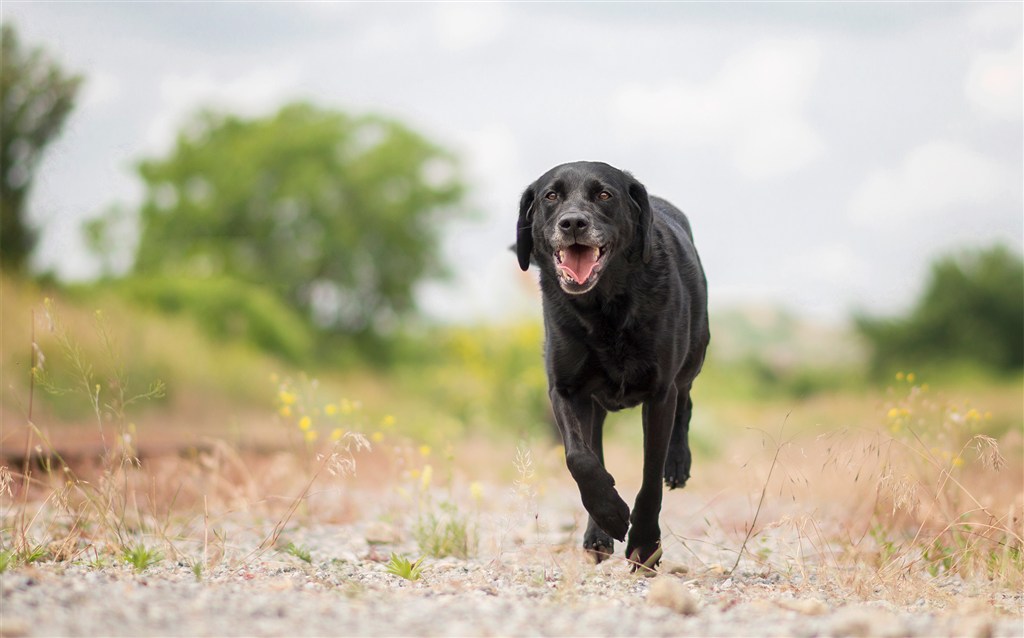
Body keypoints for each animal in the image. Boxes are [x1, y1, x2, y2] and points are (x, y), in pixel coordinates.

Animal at [516, 161, 708, 573]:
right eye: (550, 196)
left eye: (604, 194)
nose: (573, 222)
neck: (603, 308)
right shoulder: (565, 389)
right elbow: (580, 458)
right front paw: (610, 514)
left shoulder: (660, 393)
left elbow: (650, 477)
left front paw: (645, 545)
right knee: (595, 448)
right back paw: (597, 533)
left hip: (695, 354)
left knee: (686, 400)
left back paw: (678, 463)